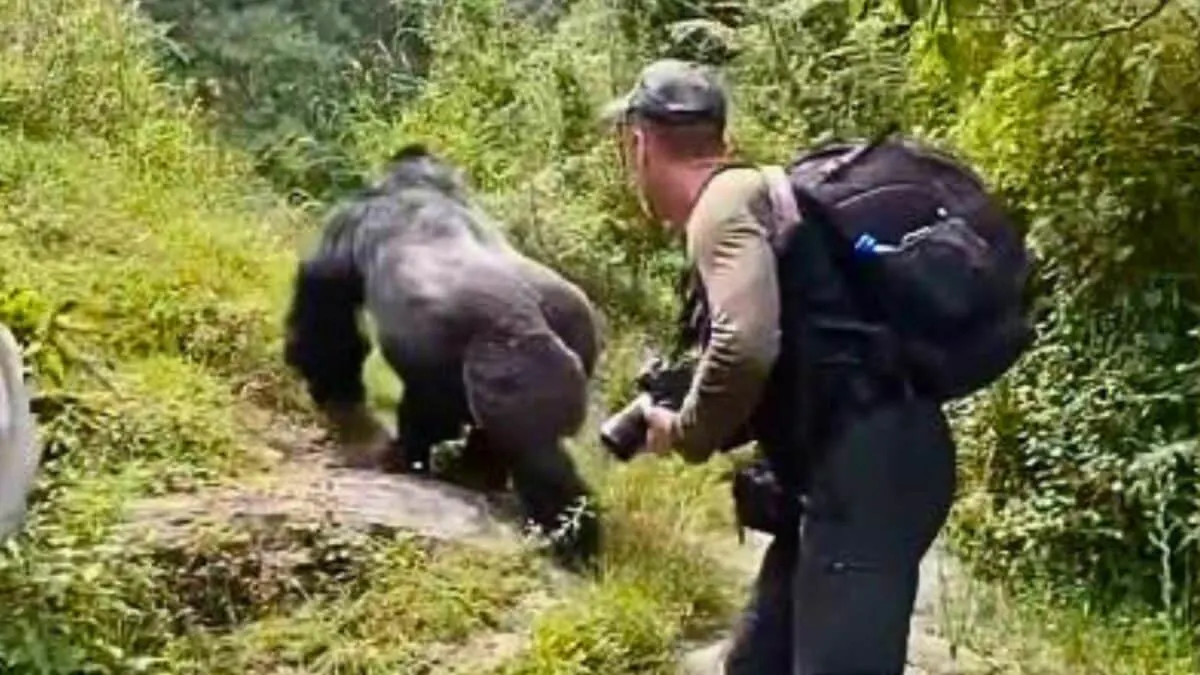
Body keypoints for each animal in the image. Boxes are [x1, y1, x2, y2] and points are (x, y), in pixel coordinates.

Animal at [284, 142, 604, 566]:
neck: (424, 183)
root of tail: (534, 321)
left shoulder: (353, 218)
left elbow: (327, 312)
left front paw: (330, 386)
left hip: (514, 360)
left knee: (535, 453)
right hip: (573, 334)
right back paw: (477, 476)